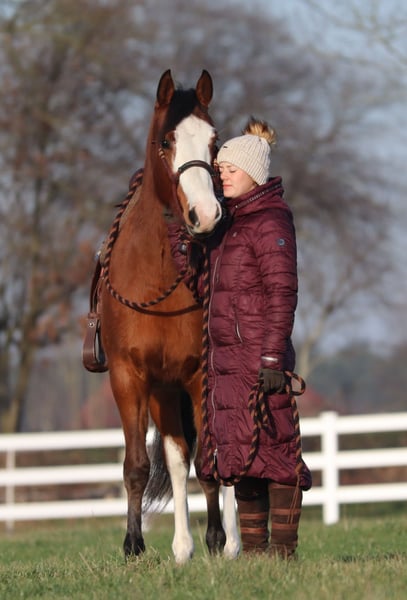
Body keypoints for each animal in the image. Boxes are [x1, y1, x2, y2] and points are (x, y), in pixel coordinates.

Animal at [97, 70, 240, 564]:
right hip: (162, 393)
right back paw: (181, 546)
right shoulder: (130, 378)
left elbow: (210, 465)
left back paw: (232, 541)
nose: (207, 215)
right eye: (166, 141)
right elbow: (140, 465)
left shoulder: (199, 375)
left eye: (214, 142)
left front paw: (216, 539)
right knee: (176, 458)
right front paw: (134, 544)